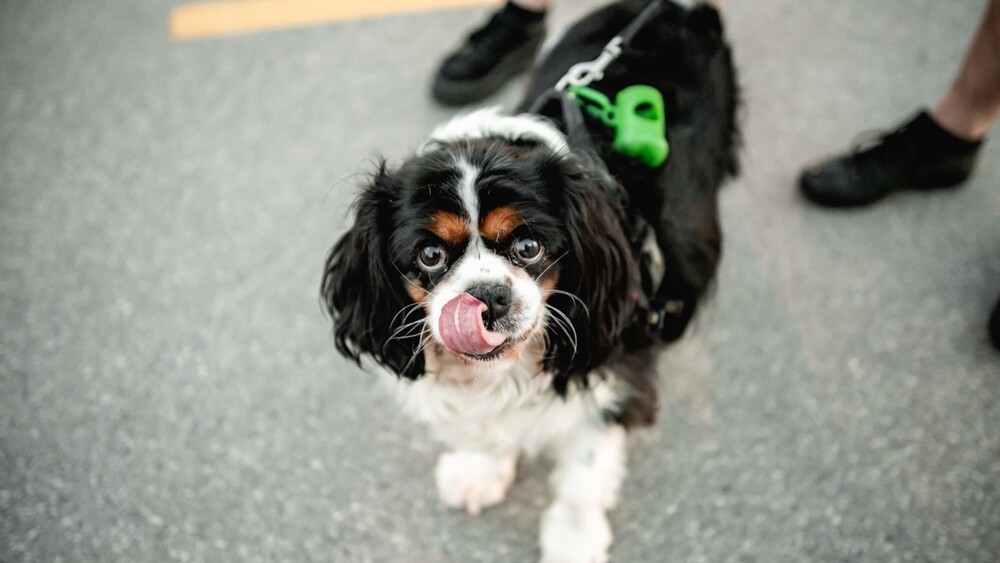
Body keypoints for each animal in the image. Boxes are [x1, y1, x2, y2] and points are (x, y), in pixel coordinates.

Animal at [324, 2, 740, 560]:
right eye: (430, 255)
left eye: (528, 247)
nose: (488, 297)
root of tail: (679, 9)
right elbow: (488, 427)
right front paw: (480, 471)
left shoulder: (616, 362)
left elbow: (584, 469)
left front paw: (574, 537)